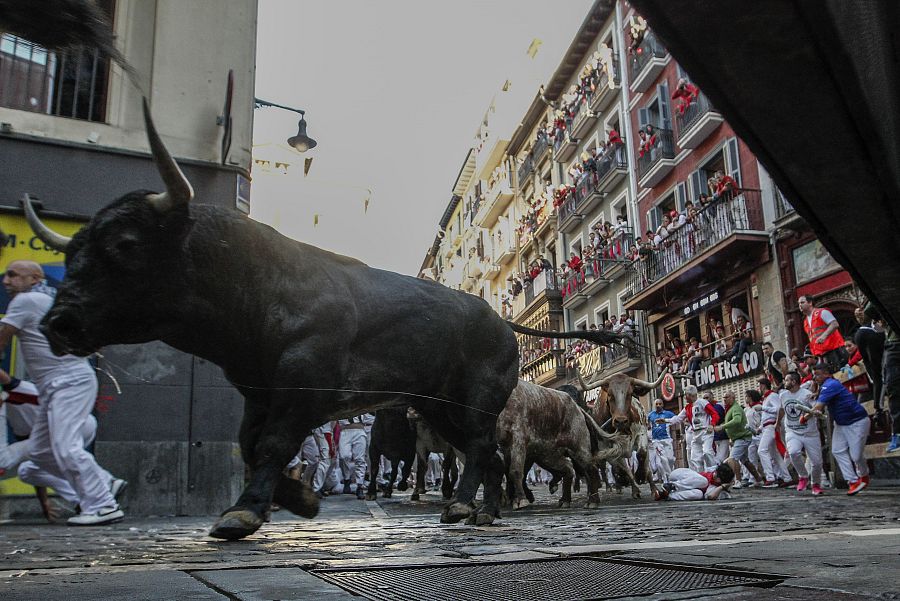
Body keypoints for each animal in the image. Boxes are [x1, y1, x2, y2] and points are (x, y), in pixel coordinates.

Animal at [22, 98, 624, 540]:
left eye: (124, 244)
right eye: (71, 254)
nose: (58, 324)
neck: (261, 285)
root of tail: (501, 322)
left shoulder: (301, 387)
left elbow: (270, 446)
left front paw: (245, 512)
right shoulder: (259, 391)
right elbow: (250, 445)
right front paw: (298, 498)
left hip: (473, 402)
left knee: (481, 449)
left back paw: (463, 508)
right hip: (437, 407)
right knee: (489, 454)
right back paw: (482, 511)